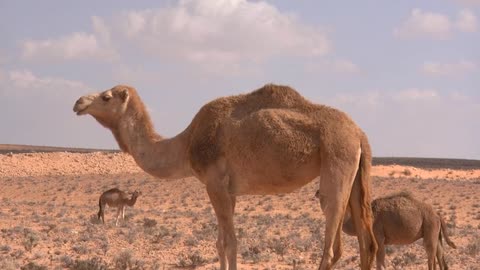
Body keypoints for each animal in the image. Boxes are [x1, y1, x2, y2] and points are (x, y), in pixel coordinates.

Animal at [73, 84, 376, 270]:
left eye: (106, 96)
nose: (78, 102)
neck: (186, 144)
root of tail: (359, 133)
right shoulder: (228, 191)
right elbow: (222, 243)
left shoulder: (215, 183)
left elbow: (229, 243)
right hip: (355, 175)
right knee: (367, 243)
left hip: (337, 160)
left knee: (332, 245)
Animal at [316, 191, 458, 268]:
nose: (317, 192)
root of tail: (437, 214)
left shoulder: (378, 237)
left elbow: (380, 262)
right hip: (436, 232)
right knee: (440, 255)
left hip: (430, 227)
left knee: (431, 255)